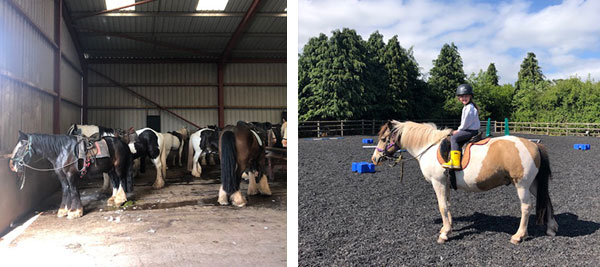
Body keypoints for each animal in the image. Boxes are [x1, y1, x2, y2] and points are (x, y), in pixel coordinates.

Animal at [370, 121, 556, 245]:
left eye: (384, 139)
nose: (374, 159)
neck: (429, 147)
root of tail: (534, 145)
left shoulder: (438, 183)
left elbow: (442, 207)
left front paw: (444, 234)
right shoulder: (445, 184)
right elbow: (447, 205)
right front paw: (447, 228)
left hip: (522, 185)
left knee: (526, 207)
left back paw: (518, 235)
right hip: (533, 184)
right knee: (546, 199)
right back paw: (551, 228)